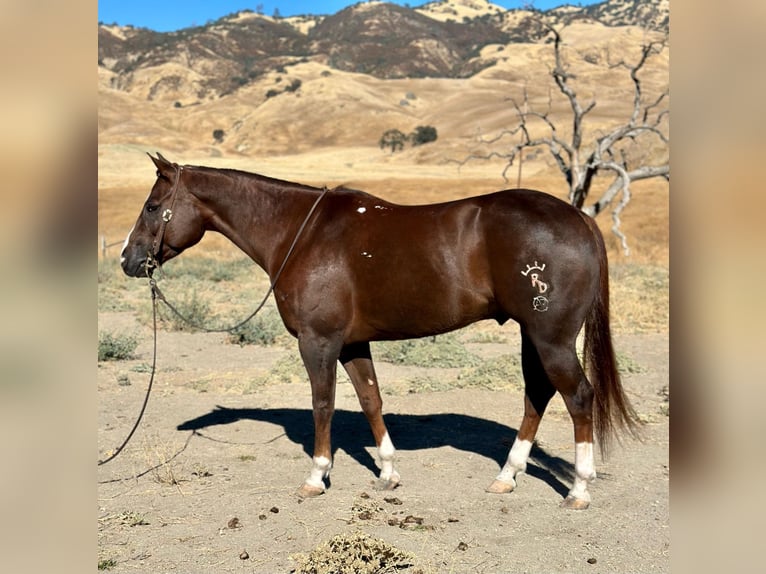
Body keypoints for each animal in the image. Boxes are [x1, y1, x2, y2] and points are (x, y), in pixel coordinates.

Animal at [121, 152, 640, 508]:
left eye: (151, 206)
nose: (128, 260)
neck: (301, 233)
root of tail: (580, 219)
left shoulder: (318, 342)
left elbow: (323, 405)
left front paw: (316, 477)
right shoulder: (352, 343)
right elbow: (371, 399)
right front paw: (387, 472)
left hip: (551, 338)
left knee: (578, 398)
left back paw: (578, 490)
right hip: (534, 335)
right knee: (538, 394)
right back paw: (506, 476)